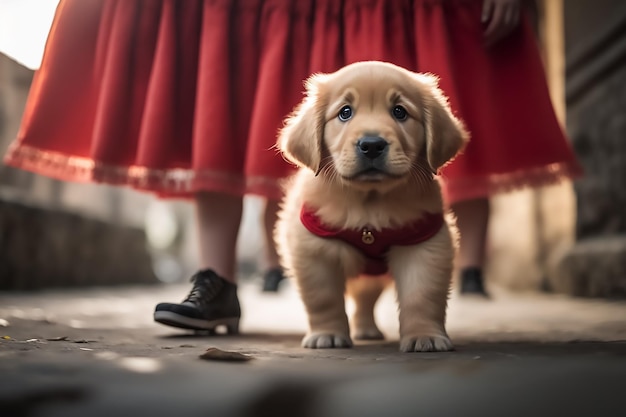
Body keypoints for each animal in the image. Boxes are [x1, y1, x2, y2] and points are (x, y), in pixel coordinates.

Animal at [276, 59, 466, 352]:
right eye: (345, 112)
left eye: (399, 112)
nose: (372, 145)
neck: (369, 203)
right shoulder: (315, 250)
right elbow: (323, 298)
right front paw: (327, 334)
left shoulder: (425, 244)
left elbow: (422, 295)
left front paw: (425, 336)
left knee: (366, 300)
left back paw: (366, 330)